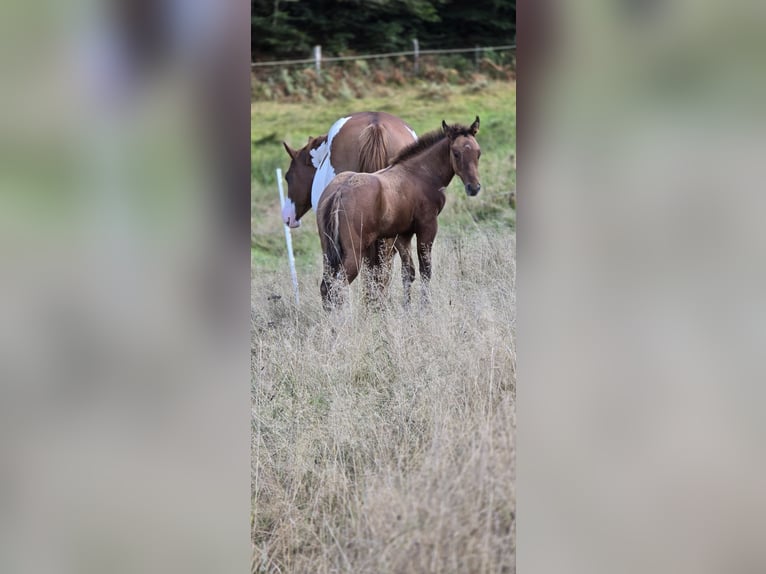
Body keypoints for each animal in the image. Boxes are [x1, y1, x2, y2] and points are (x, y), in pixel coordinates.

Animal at [316, 114, 480, 308]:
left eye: (478, 152)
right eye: (456, 153)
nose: (474, 188)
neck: (420, 174)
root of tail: (339, 191)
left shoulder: (402, 235)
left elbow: (408, 273)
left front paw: (407, 308)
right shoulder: (427, 227)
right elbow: (425, 271)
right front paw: (425, 308)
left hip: (329, 252)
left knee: (326, 288)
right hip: (353, 253)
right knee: (338, 287)